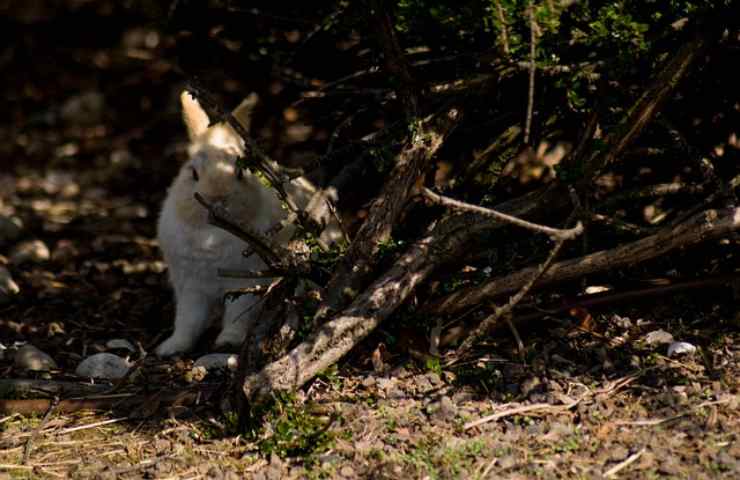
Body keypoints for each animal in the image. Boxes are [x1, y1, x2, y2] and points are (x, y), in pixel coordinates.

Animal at [155, 91, 339, 357]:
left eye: (241, 173)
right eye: (193, 173)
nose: (217, 196)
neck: (212, 234)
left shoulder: (246, 284)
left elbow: (237, 317)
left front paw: (227, 342)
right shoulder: (191, 288)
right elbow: (187, 322)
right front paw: (171, 347)